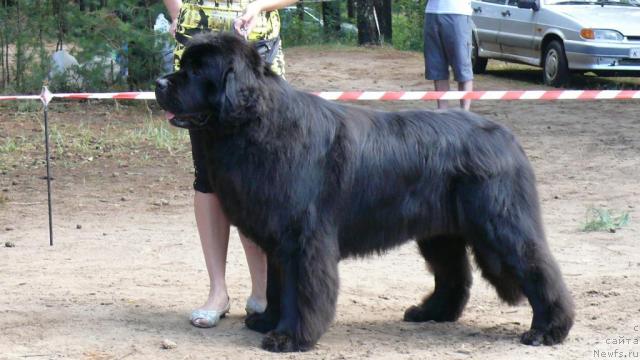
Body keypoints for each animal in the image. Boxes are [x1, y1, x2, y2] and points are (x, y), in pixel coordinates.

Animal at [155, 32, 576, 352]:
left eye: (197, 70)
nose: (160, 83)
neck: (258, 126)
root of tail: (506, 137)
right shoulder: (278, 239)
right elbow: (276, 285)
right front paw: (266, 320)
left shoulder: (304, 239)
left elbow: (301, 290)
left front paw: (290, 337)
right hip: (440, 232)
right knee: (454, 275)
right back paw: (431, 313)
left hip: (500, 223)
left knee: (538, 268)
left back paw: (548, 330)